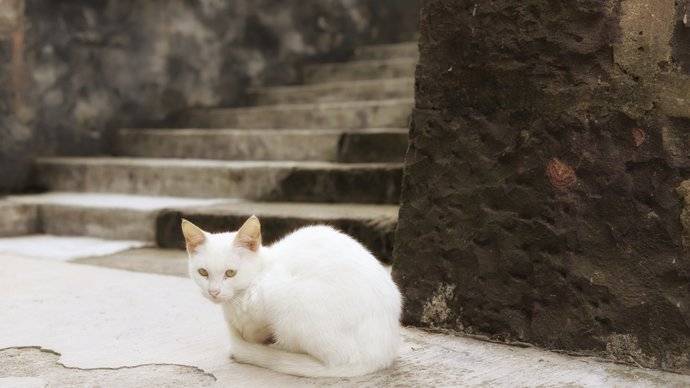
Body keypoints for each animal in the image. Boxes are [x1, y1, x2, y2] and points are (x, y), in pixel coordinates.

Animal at [183, 215, 400, 376]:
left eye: (230, 273)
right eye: (203, 272)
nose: (214, 292)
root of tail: (379, 356)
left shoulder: (267, 293)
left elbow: (254, 329)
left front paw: (255, 339)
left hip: (291, 302)